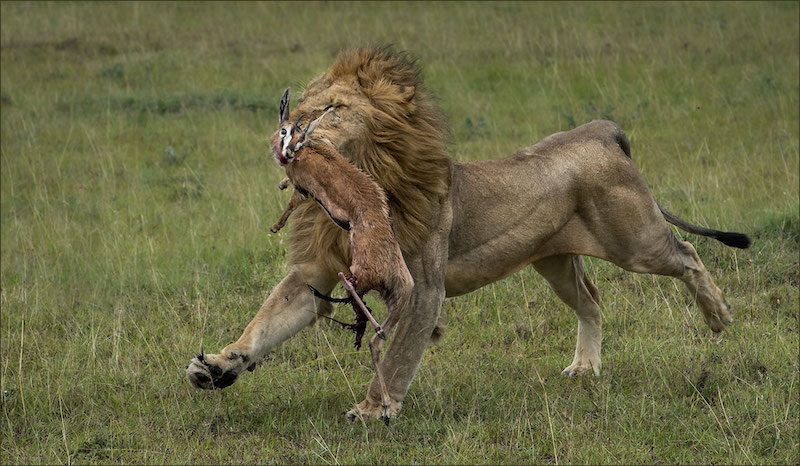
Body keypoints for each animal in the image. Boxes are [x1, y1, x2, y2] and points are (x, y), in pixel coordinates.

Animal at [186, 46, 750, 421]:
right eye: (302, 109)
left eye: (333, 110)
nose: (290, 139)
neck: (353, 191)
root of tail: (597, 130)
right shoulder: (318, 274)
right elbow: (264, 323)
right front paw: (219, 366)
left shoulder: (421, 288)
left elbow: (397, 356)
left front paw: (373, 410)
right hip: (554, 261)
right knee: (592, 300)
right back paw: (585, 368)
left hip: (633, 241)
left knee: (688, 251)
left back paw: (719, 315)